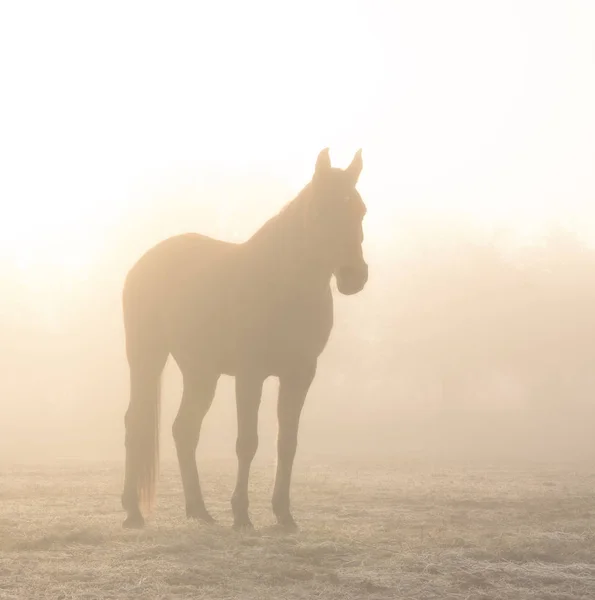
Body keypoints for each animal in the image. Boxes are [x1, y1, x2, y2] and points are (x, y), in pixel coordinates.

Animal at [121, 149, 368, 528]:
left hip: (200, 372)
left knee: (184, 429)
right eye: (320, 211)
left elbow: (287, 442)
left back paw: (199, 509)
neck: (282, 283)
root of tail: (143, 264)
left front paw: (283, 513)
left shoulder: (300, 374)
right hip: (146, 358)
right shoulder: (250, 374)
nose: (354, 276)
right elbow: (247, 442)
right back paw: (133, 510)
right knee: (135, 422)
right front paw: (241, 514)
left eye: (360, 210)